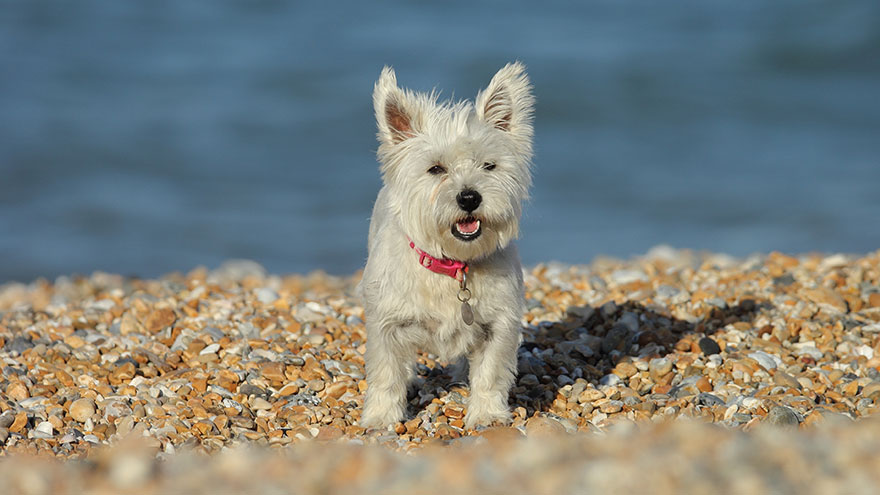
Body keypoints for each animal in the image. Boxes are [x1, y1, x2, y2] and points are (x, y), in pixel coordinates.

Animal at [360, 62, 536, 428]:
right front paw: (380, 418)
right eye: (436, 168)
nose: (469, 197)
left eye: (489, 165)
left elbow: (490, 373)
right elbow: (386, 374)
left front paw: (487, 415)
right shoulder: (387, 323)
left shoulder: (499, 324)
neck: (452, 265)